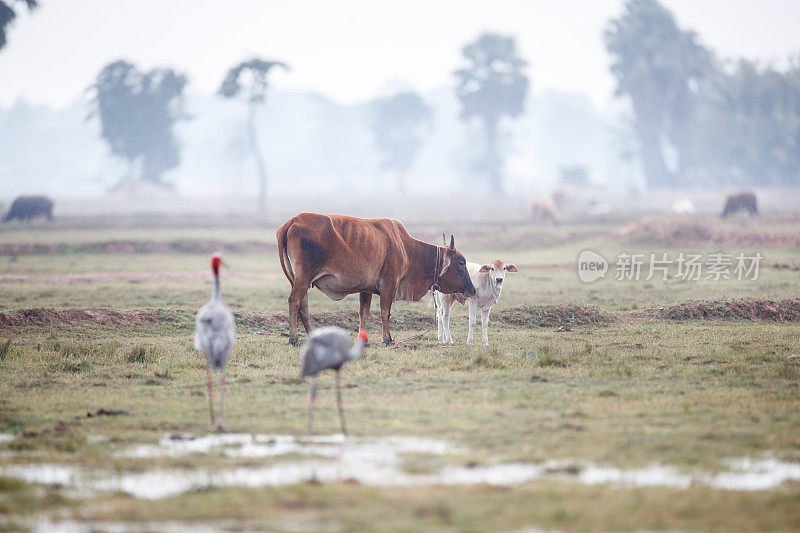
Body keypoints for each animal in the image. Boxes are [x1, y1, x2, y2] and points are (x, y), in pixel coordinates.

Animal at [276, 212, 476, 344]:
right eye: (461, 262)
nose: (472, 289)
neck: (406, 247)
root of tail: (293, 221)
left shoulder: (366, 289)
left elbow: (363, 313)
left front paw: (364, 340)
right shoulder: (389, 283)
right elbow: (385, 312)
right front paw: (387, 339)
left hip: (298, 279)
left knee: (303, 306)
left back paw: (312, 336)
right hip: (304, 278)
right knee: (294, 301)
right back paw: (294, 338)